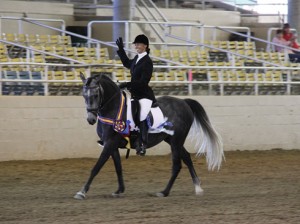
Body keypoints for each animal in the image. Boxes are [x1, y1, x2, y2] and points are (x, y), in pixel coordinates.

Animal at [73, 73, 223, 200]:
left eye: (95, 95)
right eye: (84, 95)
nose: (91, 119)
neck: (113, 110)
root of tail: (184, 102)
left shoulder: (110, 143)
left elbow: (96, 167)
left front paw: (81, 192)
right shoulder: (112, 145)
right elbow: (118, 167)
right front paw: (119, 190)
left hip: (176, 140)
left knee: (177, 165)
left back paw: (164, 192)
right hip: (172, 140)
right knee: (186, 158)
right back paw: (197, 187)